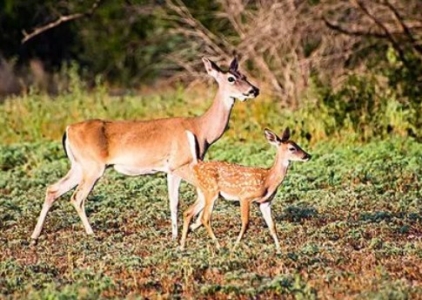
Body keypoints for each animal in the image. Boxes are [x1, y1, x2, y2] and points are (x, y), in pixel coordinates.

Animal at [29, 57, 258, 243]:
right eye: (231, 78)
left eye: (244, 75)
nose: (253, 90)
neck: (200, 130)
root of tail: (68, 130)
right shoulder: (176, 166)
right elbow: (176, 201)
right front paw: (178, 234)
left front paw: (186, 230)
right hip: (93, 167)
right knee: (77, 197)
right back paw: (91, 234)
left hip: (78, 166)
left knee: (52, 189)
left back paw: (34, 236)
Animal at [181, 127, 310, 252]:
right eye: (292, 148)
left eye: (298, 144)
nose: (308, 156)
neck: (268, 180)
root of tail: (197, 165)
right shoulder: (245, 196)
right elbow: (246, 223)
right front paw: (235, 247)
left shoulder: (265, 202)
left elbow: (272, 226)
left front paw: (279, 251)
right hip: (211, 191)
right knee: (205, 218)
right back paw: (219, 247)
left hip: (203, 193)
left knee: (188, 212)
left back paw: (182, 246)